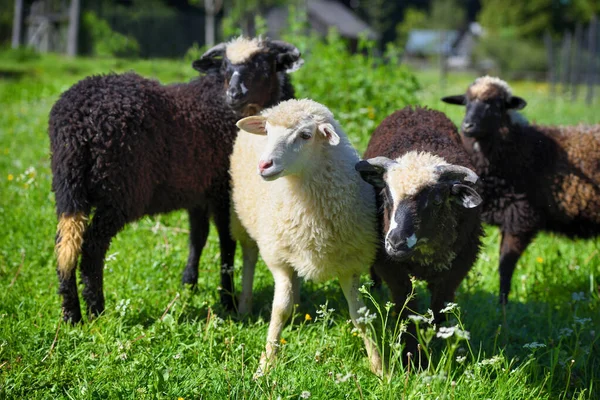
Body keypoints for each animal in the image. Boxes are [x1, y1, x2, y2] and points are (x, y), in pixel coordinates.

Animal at [50, 36, 304, 322]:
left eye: (263, 64)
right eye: (225, 66)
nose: (234, 94)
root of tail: (76, 127)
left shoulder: (198, 192)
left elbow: (198, 237)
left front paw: (189, 284)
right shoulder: (222, 189)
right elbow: (226, 243)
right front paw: (227, 299)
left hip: (68, 189)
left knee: (65, 245)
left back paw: (71, 314)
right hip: (119, 190)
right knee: (92, 246)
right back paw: (96, 310)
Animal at [230, 98, 380, 376]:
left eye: (306, 135)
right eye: (267, 132)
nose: (264, 165)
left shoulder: (350, 265)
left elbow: (359, 316)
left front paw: (380, 367)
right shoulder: (279, 259)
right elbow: (279, 311)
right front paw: (265, 365)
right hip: (241, 220)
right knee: (249, 257)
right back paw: (244, 307)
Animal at [356, 105, 482, 362]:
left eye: (436, 201)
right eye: (386, 197)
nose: (396, 243)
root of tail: (416, 108)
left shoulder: (458, 268)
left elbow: (439, 309)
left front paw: (435, 344)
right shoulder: (390, 266)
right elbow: (406, 307)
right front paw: (411, 355)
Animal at [440, 76, 600, 304]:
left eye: (496, 105)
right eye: (466, 103)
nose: (468, 126)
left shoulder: (522, 217)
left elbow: (505, 266)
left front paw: (503, 305)